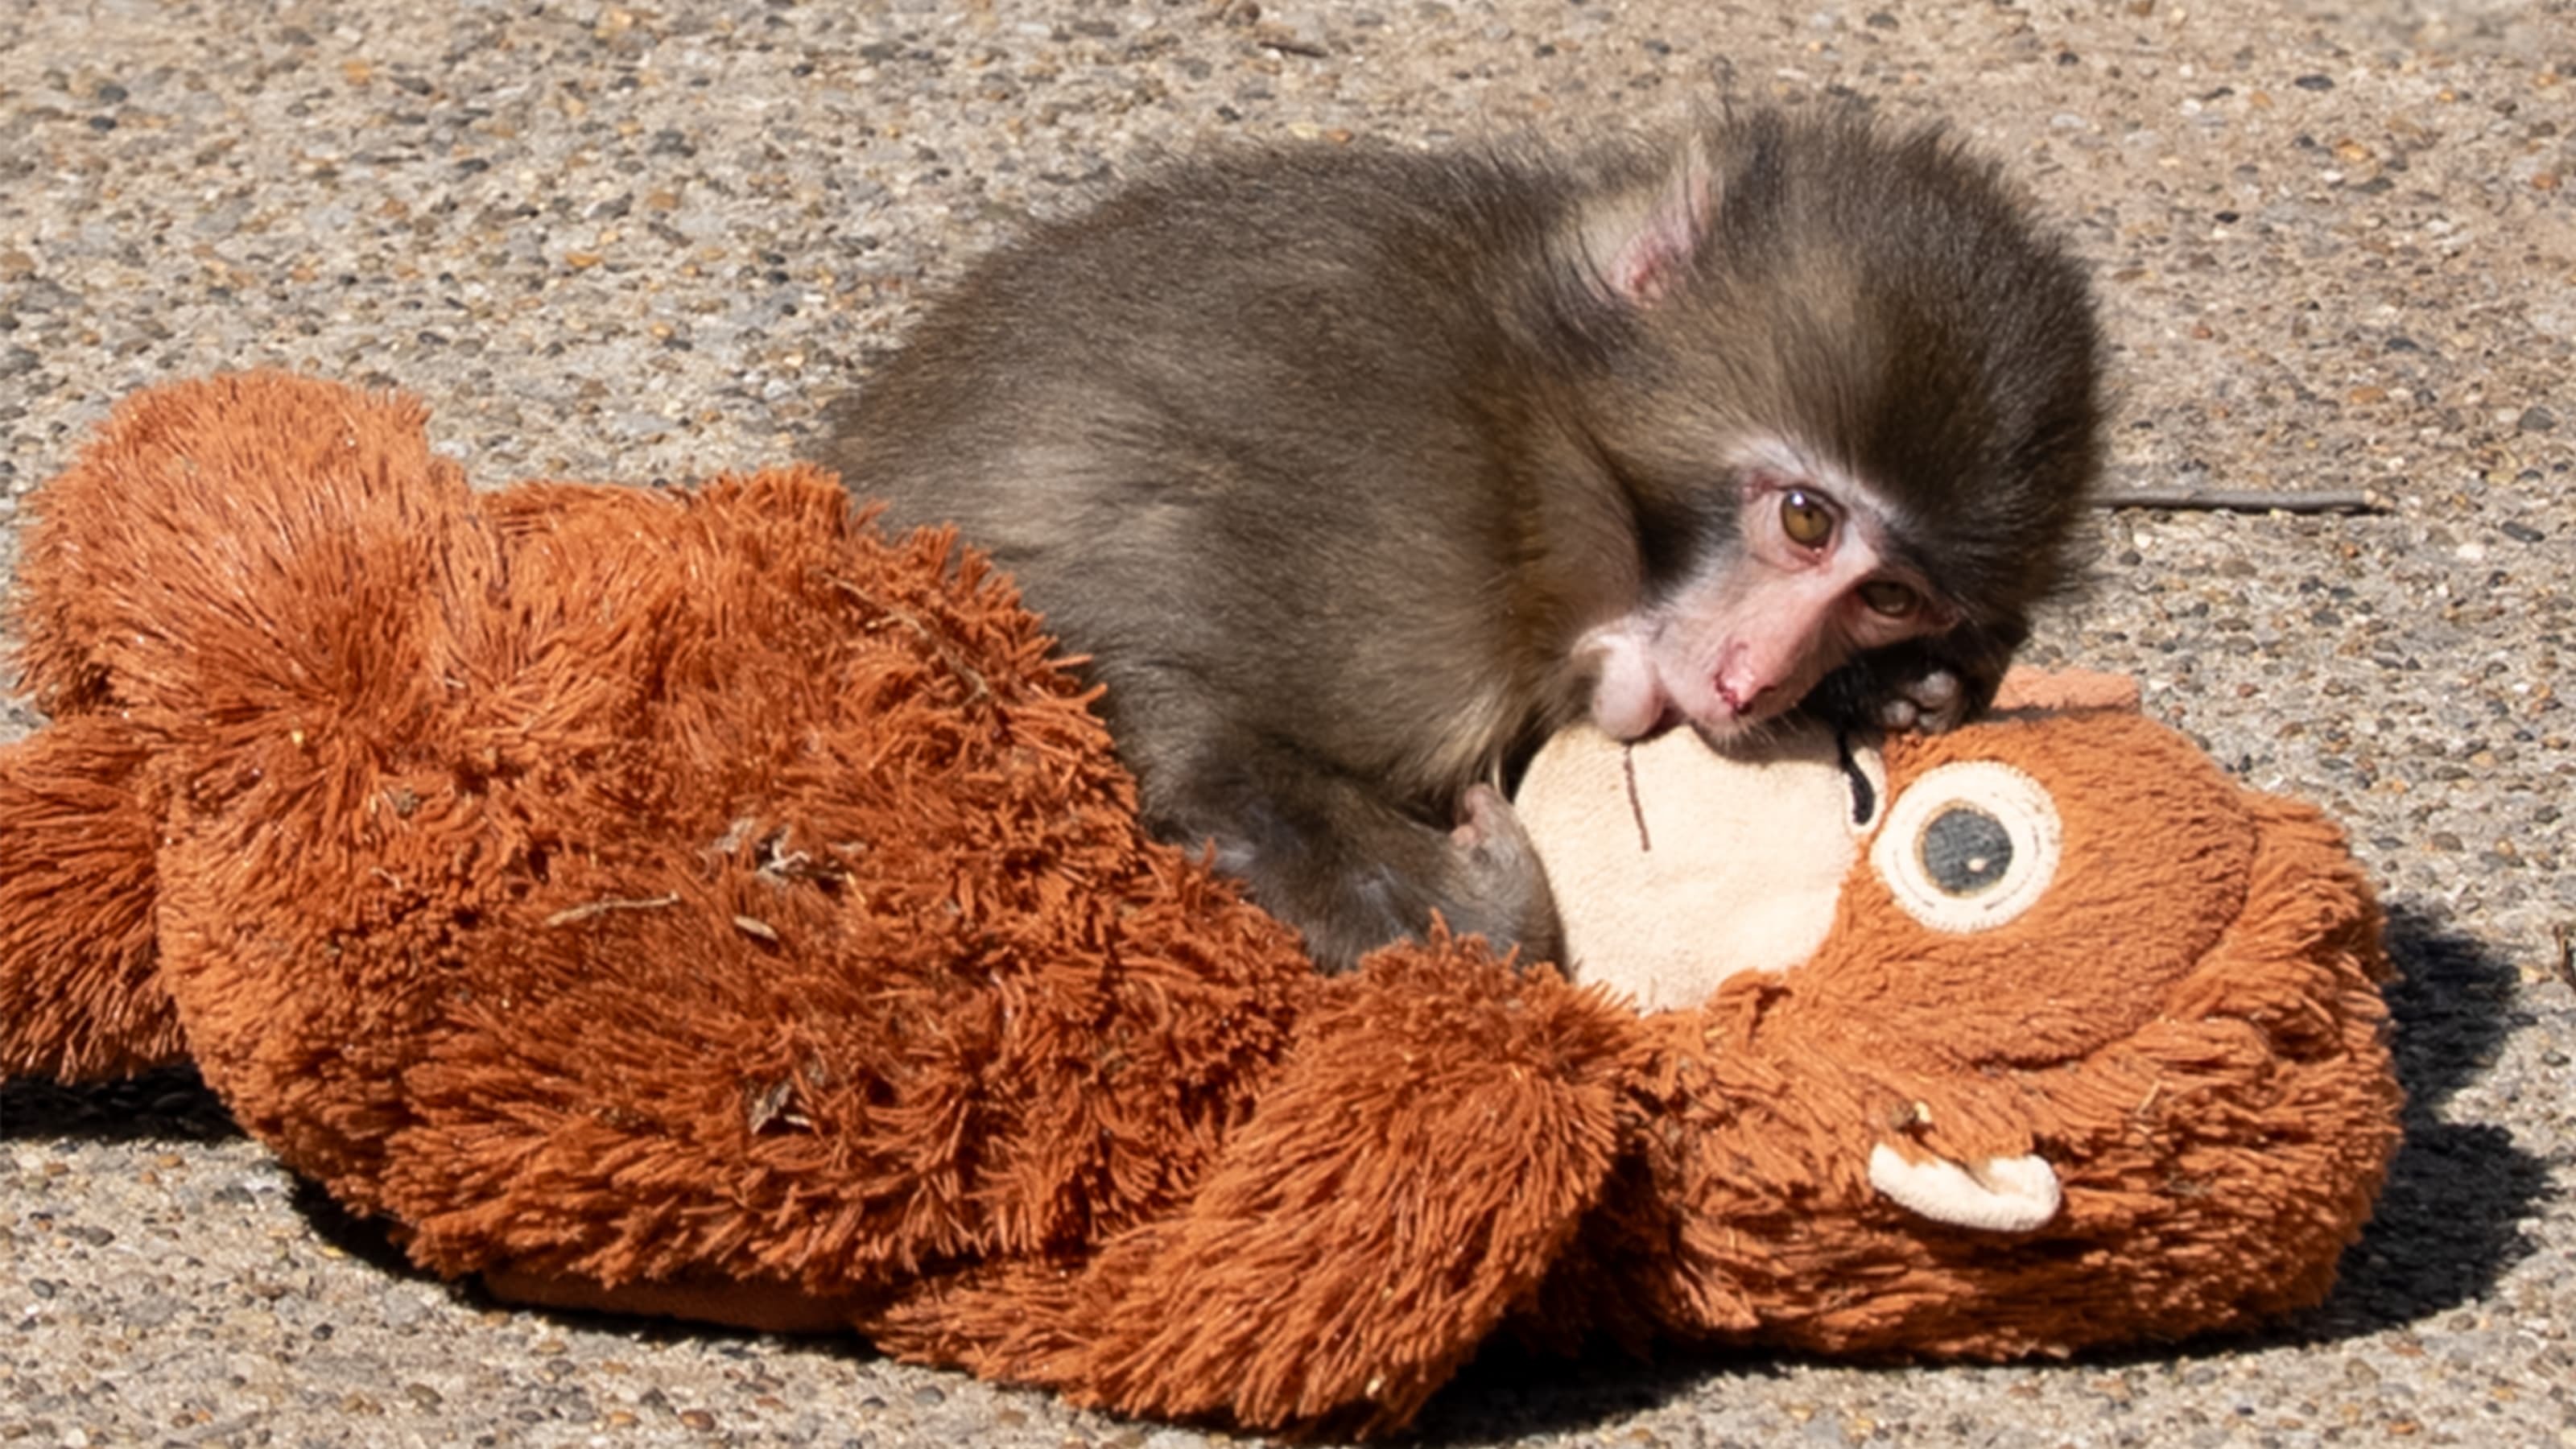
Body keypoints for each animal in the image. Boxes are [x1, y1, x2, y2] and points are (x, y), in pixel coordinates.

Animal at [817, 107, 2105, 974]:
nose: (1758, 679)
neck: (1540, 435)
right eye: (1805, 519)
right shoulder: (1405, 538)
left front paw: (1904, 690)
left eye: (1888, 599)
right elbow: (1154, 702)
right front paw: (1490, 908)